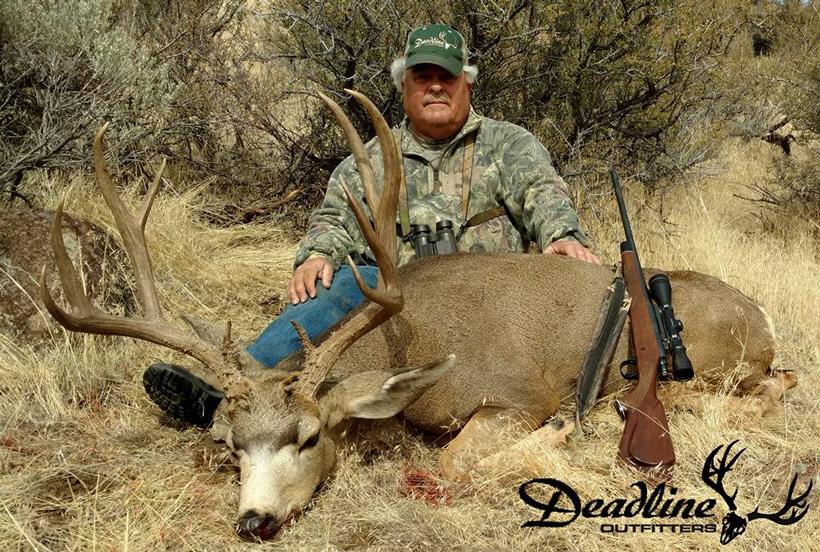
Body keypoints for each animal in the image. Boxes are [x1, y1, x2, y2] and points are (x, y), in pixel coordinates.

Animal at [39, 90, 796, 541]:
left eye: (309, 438)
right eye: (231, 447)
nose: (254, 520)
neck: (416, 347)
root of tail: (761, 315)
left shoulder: (514, 396)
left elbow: (456, 462)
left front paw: (554, 436)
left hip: (702, 370)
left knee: (763, 390)